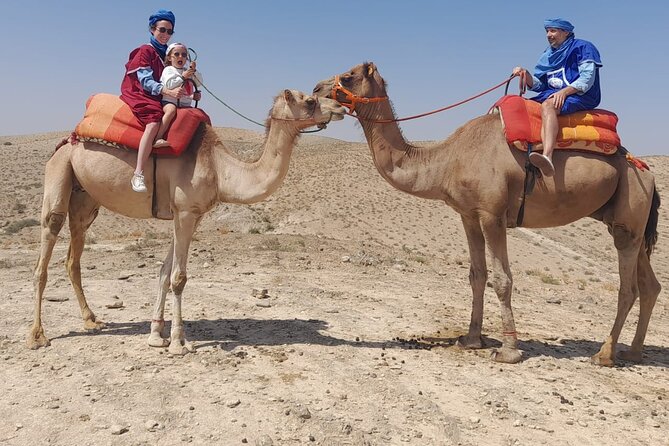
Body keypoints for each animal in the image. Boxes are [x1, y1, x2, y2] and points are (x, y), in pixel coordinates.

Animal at [27, 89, 344, 356]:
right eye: (310, 99)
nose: (340, 107)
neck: (219, 169)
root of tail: (68, 139)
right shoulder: (186, 212)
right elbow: (179, 277)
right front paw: (178, 342)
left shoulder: (191, 214)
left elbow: (164, 272)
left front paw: (156, 335)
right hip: (59, 171)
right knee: (46, 248)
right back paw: (37, 335)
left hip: (85, 199)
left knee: (73, 255)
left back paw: (92, 320)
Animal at [314, 62, 656, 366]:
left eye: (349, 75)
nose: (316, 90)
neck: (447, 161)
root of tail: (645, 171)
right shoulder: (468, 215)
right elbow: (476, 276)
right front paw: (471, 339)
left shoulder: (493, 214)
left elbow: (502, 279)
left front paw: (508, 351)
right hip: (626, 223)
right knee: (649, 285)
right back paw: (633, 352)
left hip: (630, 209)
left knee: (628, 288)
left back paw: (604, 354)